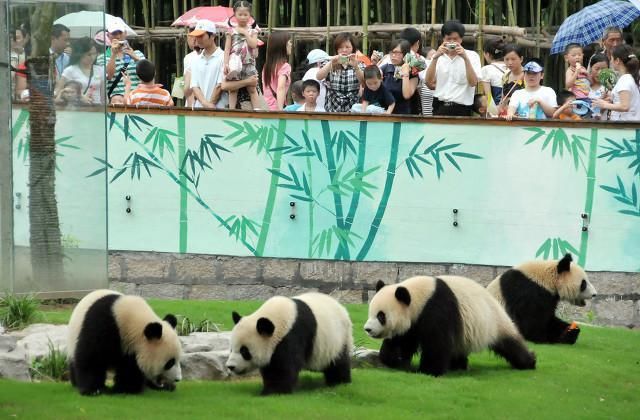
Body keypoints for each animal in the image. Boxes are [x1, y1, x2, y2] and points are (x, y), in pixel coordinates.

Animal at [226, 292, 356, 394]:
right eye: (231, 349)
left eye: (244, 351)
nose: (230, 366)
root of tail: (343, 309)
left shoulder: (292, 335)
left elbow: (282, 367)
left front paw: (274, 391)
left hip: (337, 338)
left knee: (337, 362)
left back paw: (339, 382)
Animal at [364, 276, 536, 378]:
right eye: (370, 312)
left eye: (381, 316)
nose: (368, 329)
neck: (420, 295)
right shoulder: (413, 321)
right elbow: (403, 339)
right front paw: (392, 358)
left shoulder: (436, 308)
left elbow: (437, 343)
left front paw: (428, 371)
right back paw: (458, 366)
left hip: (494, 323)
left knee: (510, 345)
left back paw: (529, 362)